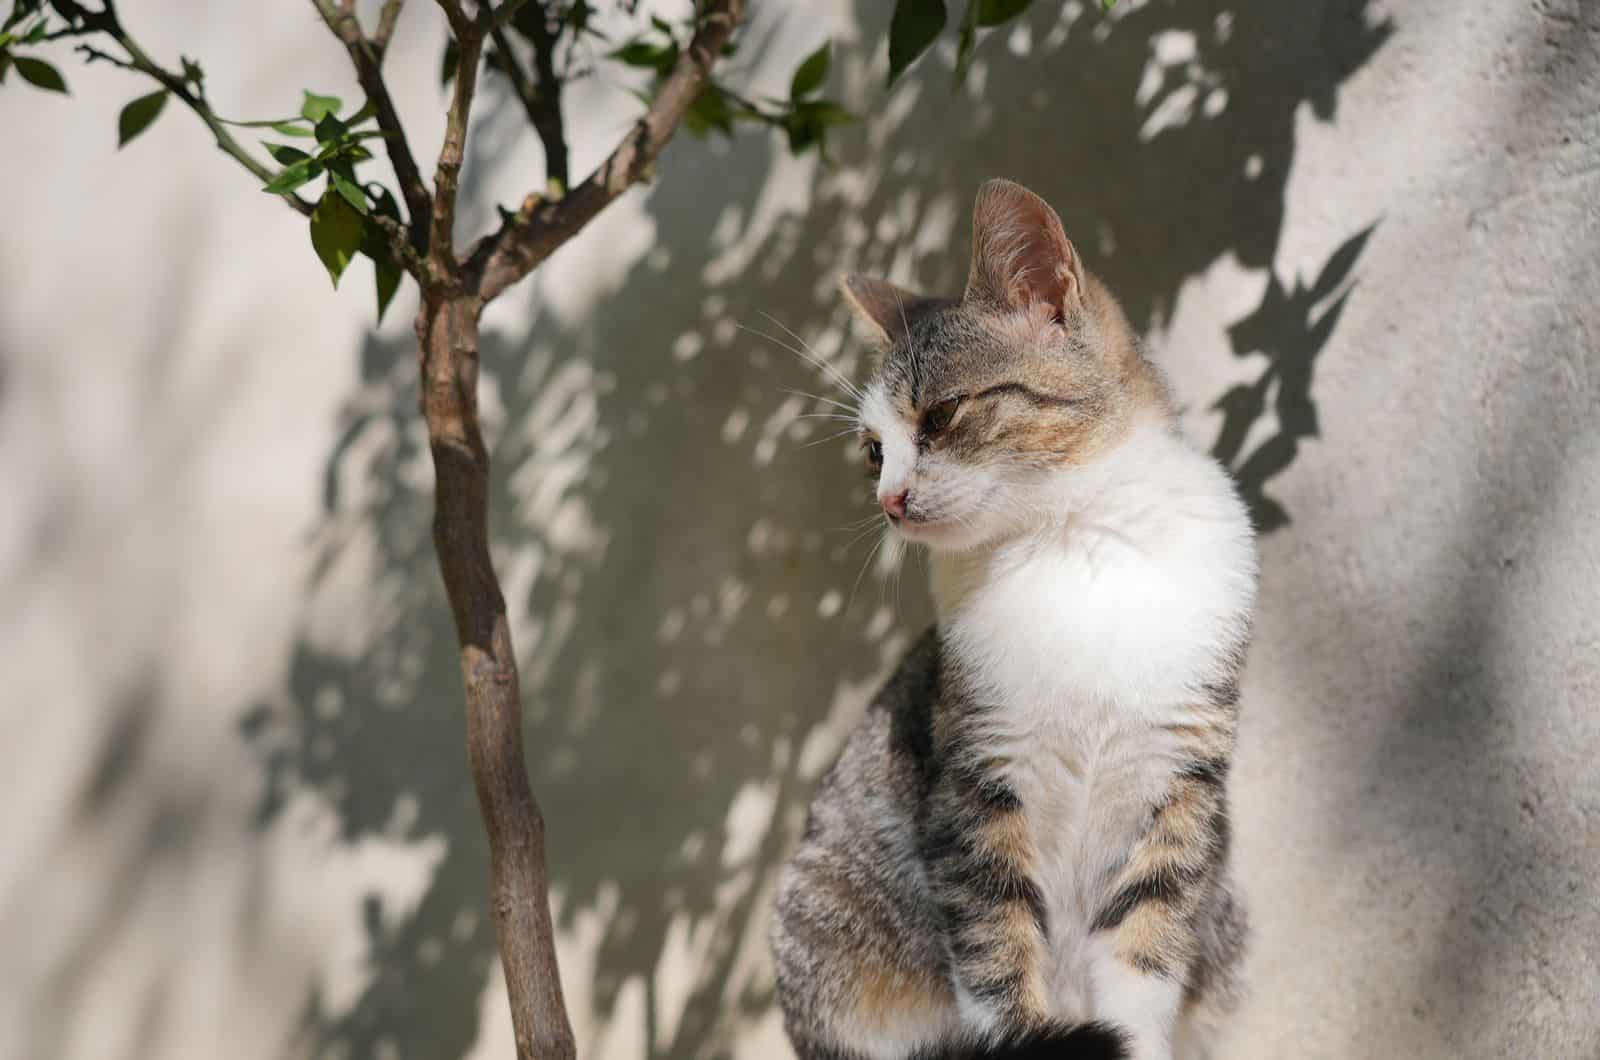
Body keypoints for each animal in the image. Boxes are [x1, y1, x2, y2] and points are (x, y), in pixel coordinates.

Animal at [768, 182, 1254, 1060]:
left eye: (941, 416)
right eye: (872, 451)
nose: (889, 501)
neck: (1072, 542)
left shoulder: (1180, 781)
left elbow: (1145, 947)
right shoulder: (974, 786)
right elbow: (999, 958)